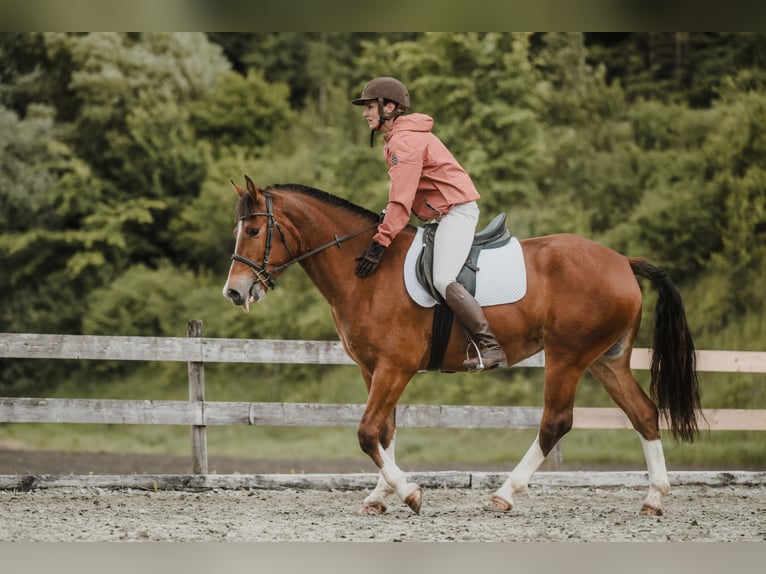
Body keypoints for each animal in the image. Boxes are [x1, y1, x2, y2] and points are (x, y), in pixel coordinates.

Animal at [222, 175, 701, 517]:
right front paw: (380, 496)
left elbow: (367, 431)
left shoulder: (395, 366)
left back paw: (505, 494)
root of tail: (622, 261)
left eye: (254, 229)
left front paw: (410, 493)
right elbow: (384, 432)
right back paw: (654, 498)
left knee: (556, 423)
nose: (234, 292)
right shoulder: (372, 368)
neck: (365, 272)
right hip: (606, 360)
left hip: (568, 356)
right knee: (644, 413)